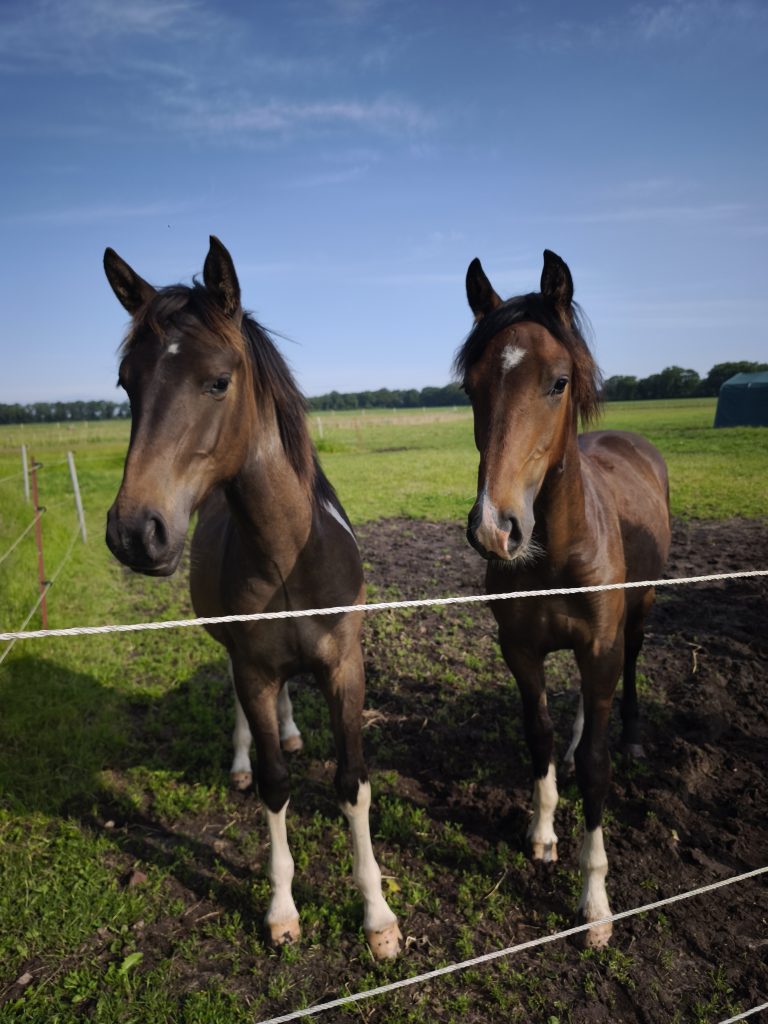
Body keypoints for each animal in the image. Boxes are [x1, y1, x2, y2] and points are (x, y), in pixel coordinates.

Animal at [103, 236, 401, 960]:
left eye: (218, 380)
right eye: (127, 384)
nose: (135, 532)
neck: (290, 554)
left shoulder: (344, 667)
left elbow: (352, 784)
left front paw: (379, 918)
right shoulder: (256, 668)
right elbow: (274, 787)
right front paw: (282, 910)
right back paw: (245, 758)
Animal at [455, 250, 670, 947]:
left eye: (558, 382)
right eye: (470, 388)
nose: (494, 528)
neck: (555, 556)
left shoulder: (599, 647)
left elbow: (598, 770)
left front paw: (595, 904)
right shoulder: (520, 649)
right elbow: (541, 735)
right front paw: (543, 833)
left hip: (640, 613)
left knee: (631, 668)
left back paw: (633, 738)